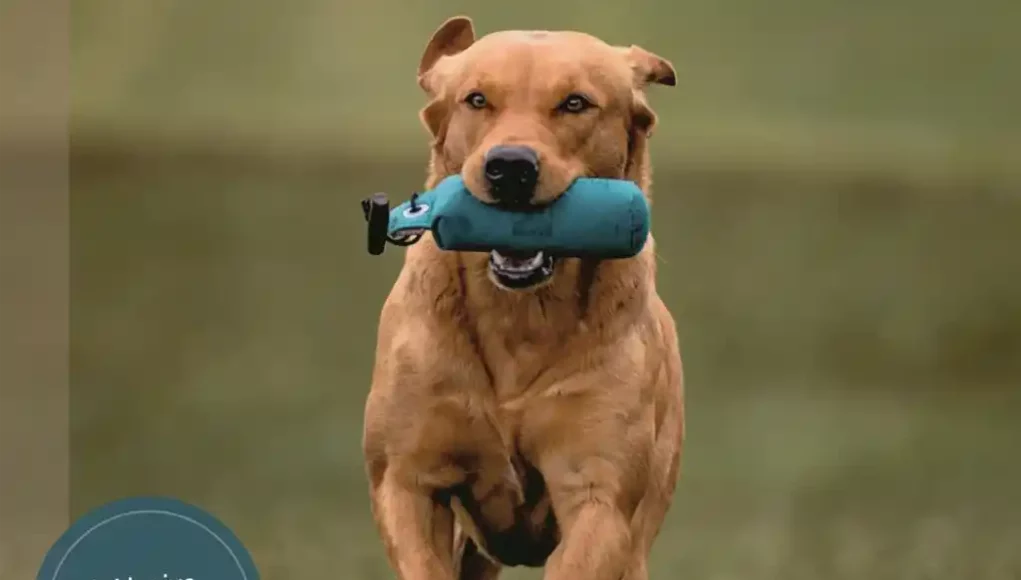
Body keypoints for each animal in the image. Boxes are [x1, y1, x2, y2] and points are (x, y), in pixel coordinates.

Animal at [363, 16, 682, 580]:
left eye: (575, 103)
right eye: (476, 99)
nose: (510, 166)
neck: (520, 317)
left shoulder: (599, 495)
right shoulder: (405, 477)